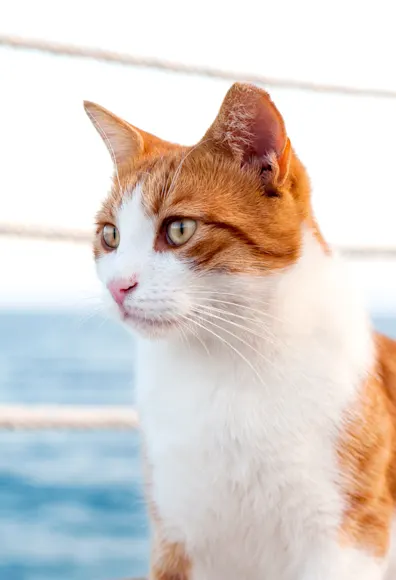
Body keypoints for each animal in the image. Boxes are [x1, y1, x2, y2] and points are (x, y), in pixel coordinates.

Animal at [84, 82, 396, 580]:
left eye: (179, 229)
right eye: (110, 236)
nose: (118, 287)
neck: (225, 366)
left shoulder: (348, 538)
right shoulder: (176, 538)